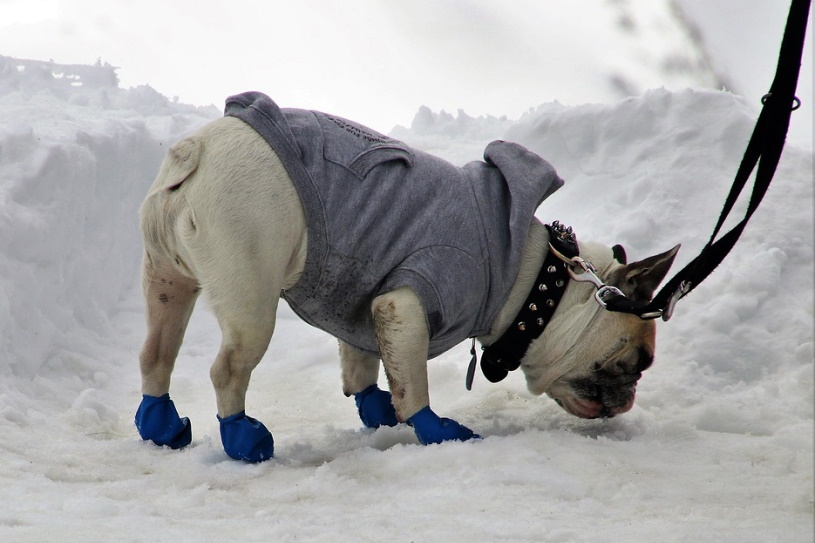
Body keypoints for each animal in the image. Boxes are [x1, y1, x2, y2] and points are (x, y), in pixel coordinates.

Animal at [135, 93, 684, 464]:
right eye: (636, 364)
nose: (628, 399)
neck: (536, 282)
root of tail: (196, 150)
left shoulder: (363, 299)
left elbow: (363, 362)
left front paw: (376, 408)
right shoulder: (407, 303)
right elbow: (413, 381)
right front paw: (434, 429)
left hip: (167, 281)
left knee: (156, 352)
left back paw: (160, 425)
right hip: (250, 297)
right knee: (227, 369)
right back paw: (243, 438)